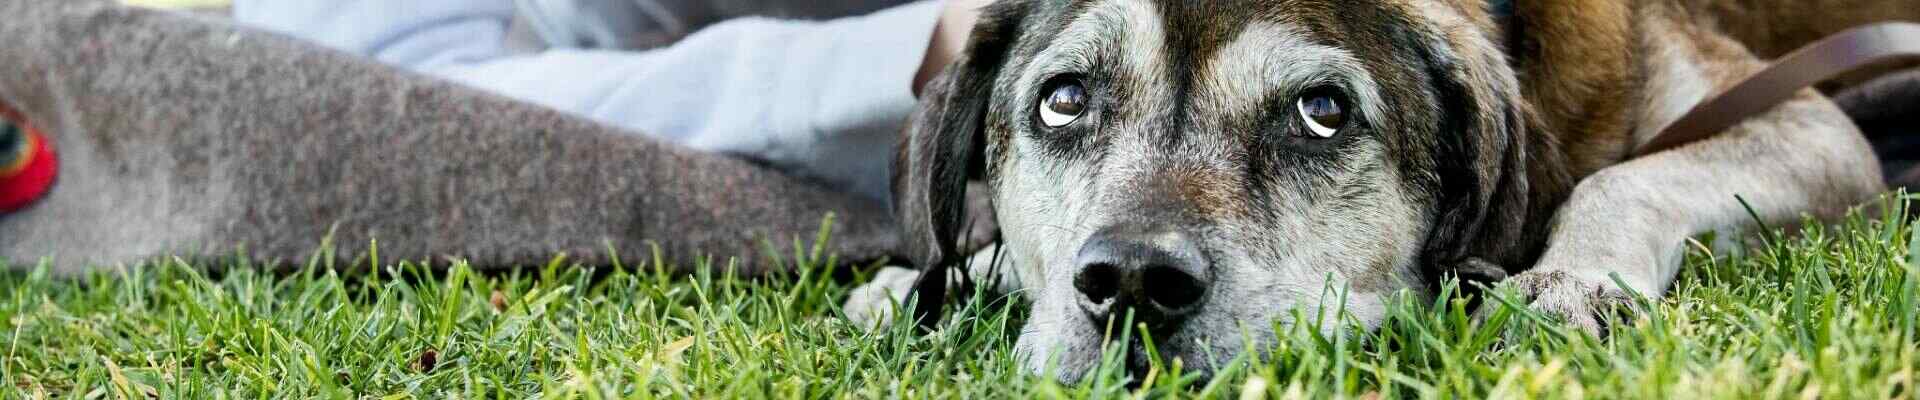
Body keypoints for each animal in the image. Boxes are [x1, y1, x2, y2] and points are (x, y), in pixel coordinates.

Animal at [848, 0, 1912, 380]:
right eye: (1064, 99)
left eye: (1321, 111)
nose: (1134, 286)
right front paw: (926, 282)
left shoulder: (1811, 125)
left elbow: (1620, 180)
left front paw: (1573, 283)